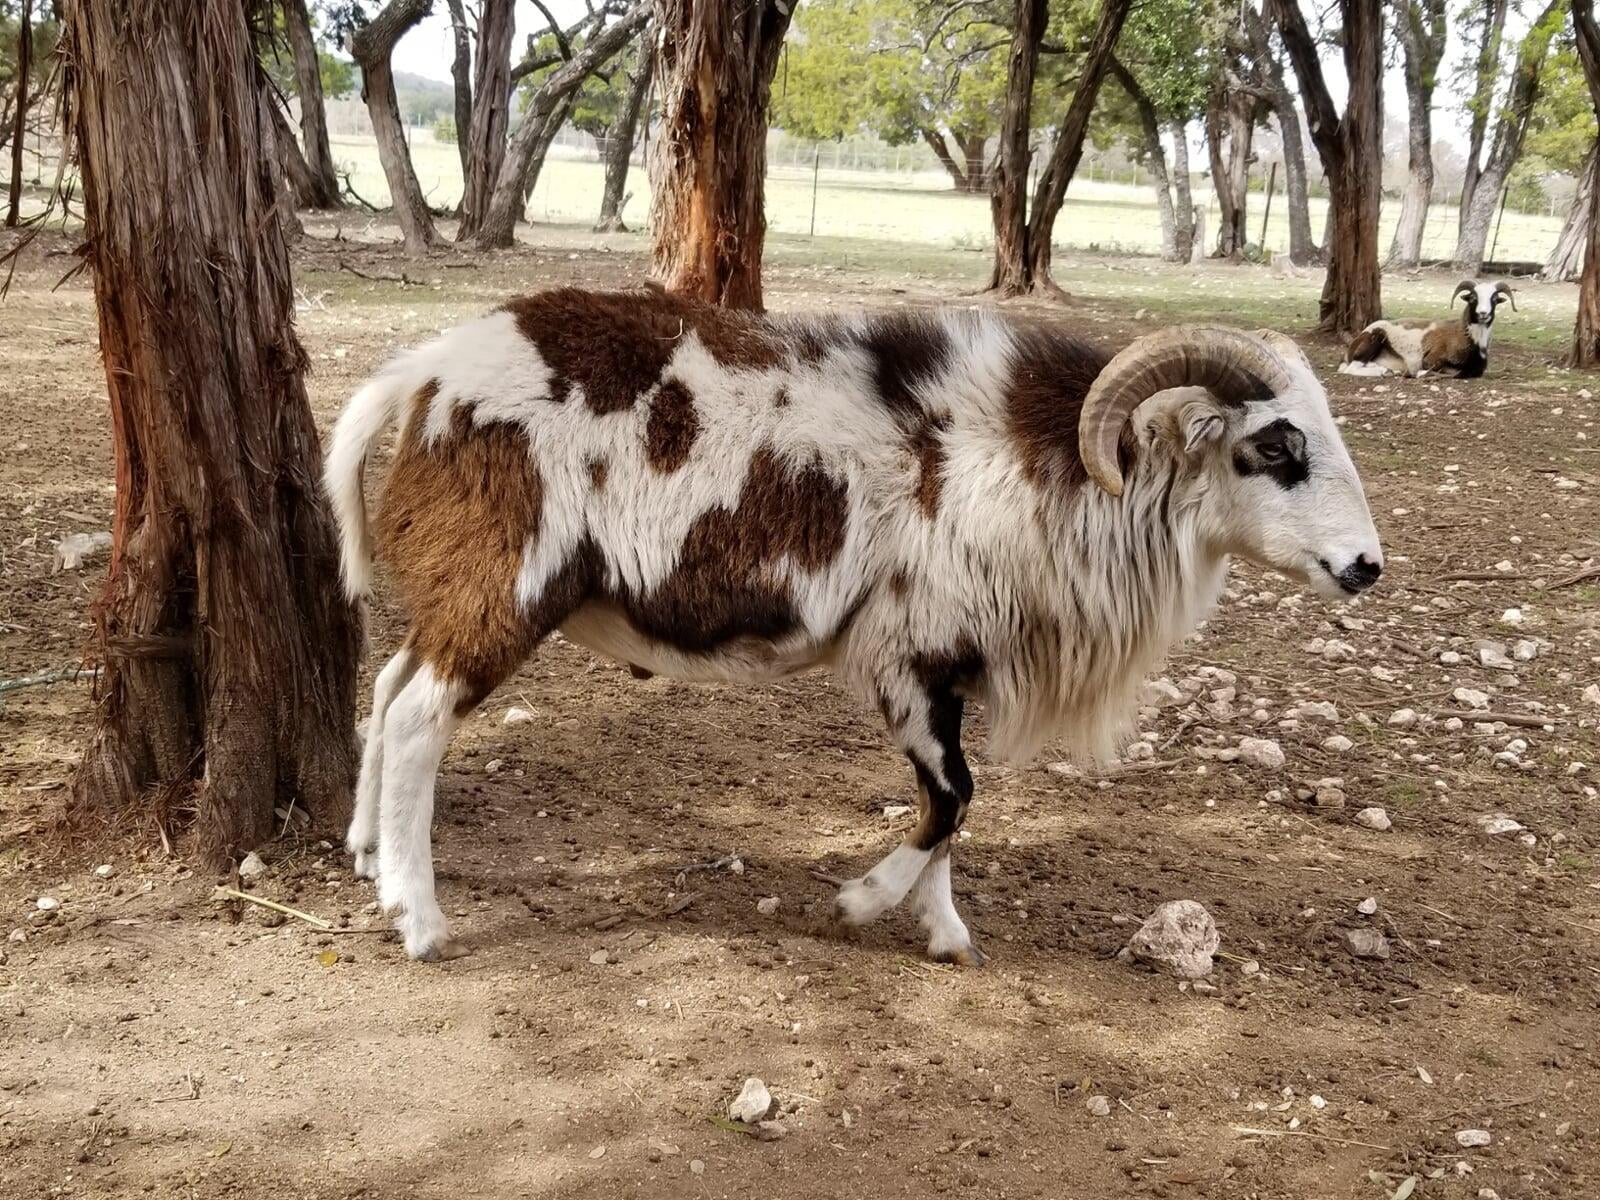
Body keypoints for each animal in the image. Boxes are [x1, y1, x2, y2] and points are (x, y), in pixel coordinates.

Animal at [328, 289, 1388, 966]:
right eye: (1274, 447)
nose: (1366, 566)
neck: (1028, 459)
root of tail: (424, 374)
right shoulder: (912, 655)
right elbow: (954, 797)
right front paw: (863, 903)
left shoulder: (946, 668)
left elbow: (952, 804)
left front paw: (946, 934)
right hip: (506, 588)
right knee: (418, 715)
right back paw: (418, 920)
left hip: (459, 589)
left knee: (385, 686)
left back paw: (367, 853)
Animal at [1337, 280, 1510, 377]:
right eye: (1473, 297)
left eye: (1494, 299)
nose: (1483, 313)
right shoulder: (1431, 360)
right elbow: (1453, 372)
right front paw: (1419, 374)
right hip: (1374, 339)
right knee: (1350, 369)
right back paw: (1384, 372)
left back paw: (1389, 370)